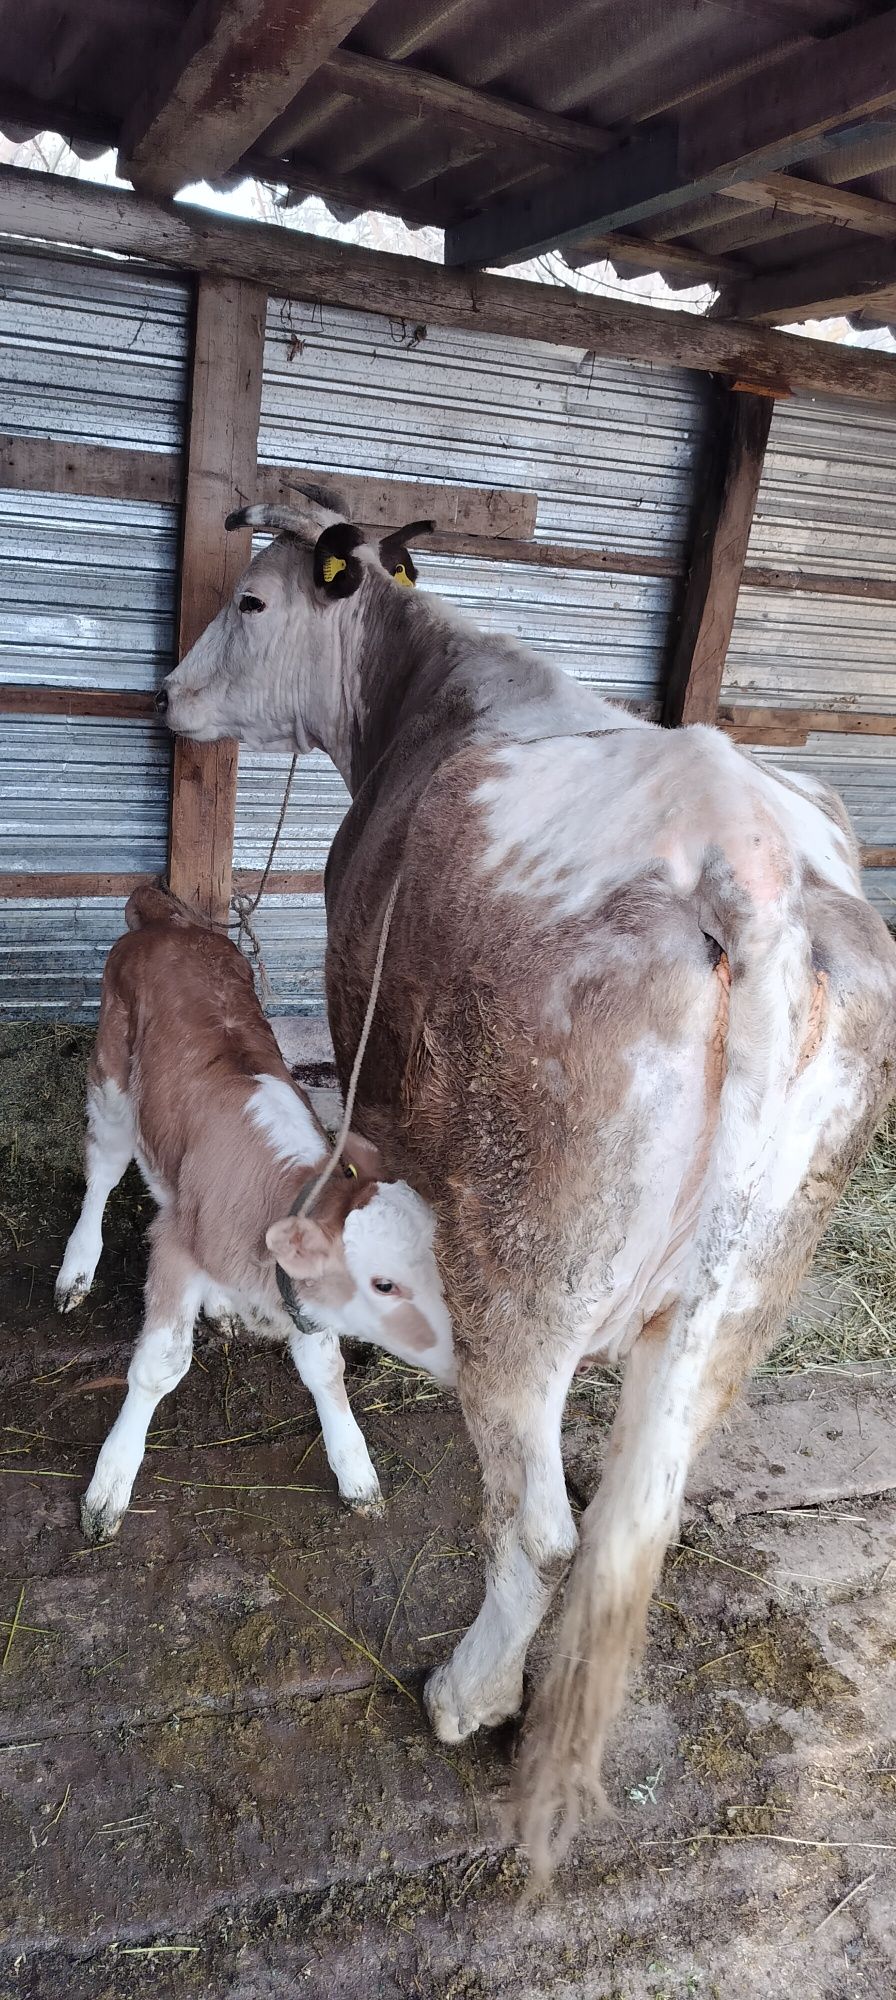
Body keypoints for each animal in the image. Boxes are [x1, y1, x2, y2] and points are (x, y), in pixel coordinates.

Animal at [61, 880, 456, 1544]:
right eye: (383, 1284)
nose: (462, 1358)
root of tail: (168, 920)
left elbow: (325, 1368)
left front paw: (356, 1470)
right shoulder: (174, 1245)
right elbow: (159, 1365)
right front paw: (110, 1483)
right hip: (112, 1079)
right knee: (104, 1169)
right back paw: (77, 1268)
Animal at [154, 484, 896, 1872]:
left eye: (252, 599)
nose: (170, 693)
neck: (426, 698)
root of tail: (752, 867)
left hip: (528, 1272)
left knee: (542, 1526)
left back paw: (466, 1692)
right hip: (746, 1286)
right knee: (637, 1511)